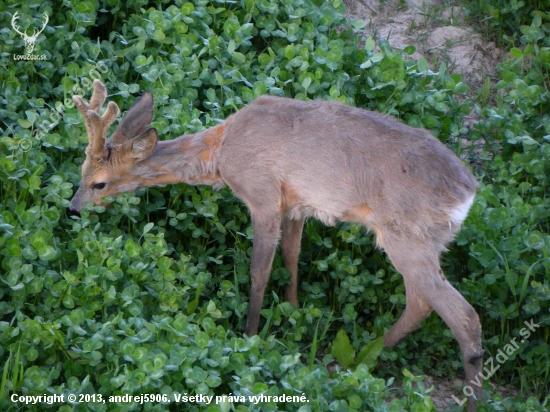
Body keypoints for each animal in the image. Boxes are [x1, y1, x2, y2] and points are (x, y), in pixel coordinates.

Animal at [71, 79, 486, 410]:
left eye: (99, 183)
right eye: (81, 172)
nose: (73, 207)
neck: (220, 153)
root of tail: (466, 193)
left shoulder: (262, 195)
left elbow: (259, 270)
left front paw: (250, 337)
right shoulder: (296, 204)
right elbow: (292, 255)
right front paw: (294, 310)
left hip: (408, 237)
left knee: (463, 316)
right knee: (421, 304)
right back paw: (361, 358)